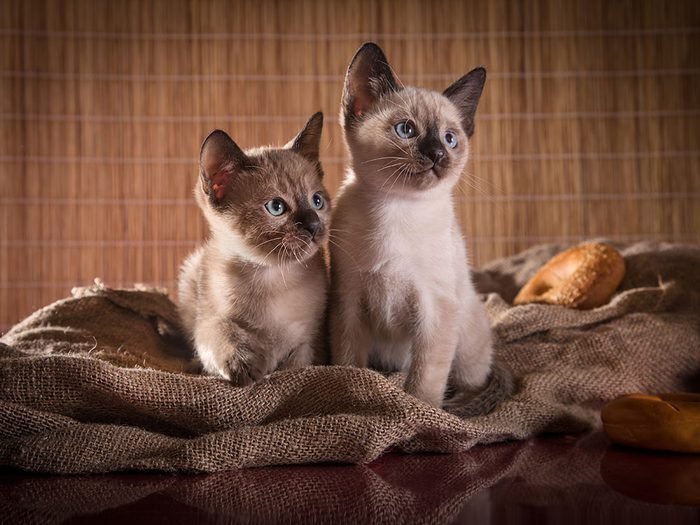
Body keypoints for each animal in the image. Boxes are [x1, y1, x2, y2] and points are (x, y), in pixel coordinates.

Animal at [180, 112, 334, 384]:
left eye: (317, 201)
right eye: (276, 207)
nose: (314, 226)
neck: (272, 277)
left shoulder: (311, 338)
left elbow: (297, 365)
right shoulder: (209, 320)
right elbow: (220, 335)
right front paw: (243, 367)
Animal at [328, 42, 492, 410]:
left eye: (450, 138)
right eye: (407, 130)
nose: (437, 155)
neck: (397, 208)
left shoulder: (434, 309)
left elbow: (424, 382)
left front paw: (419, 415)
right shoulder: (349, 301)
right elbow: (348, 365)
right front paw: (353, 396)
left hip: (466, 332)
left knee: (472, 378)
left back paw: (459, 404)